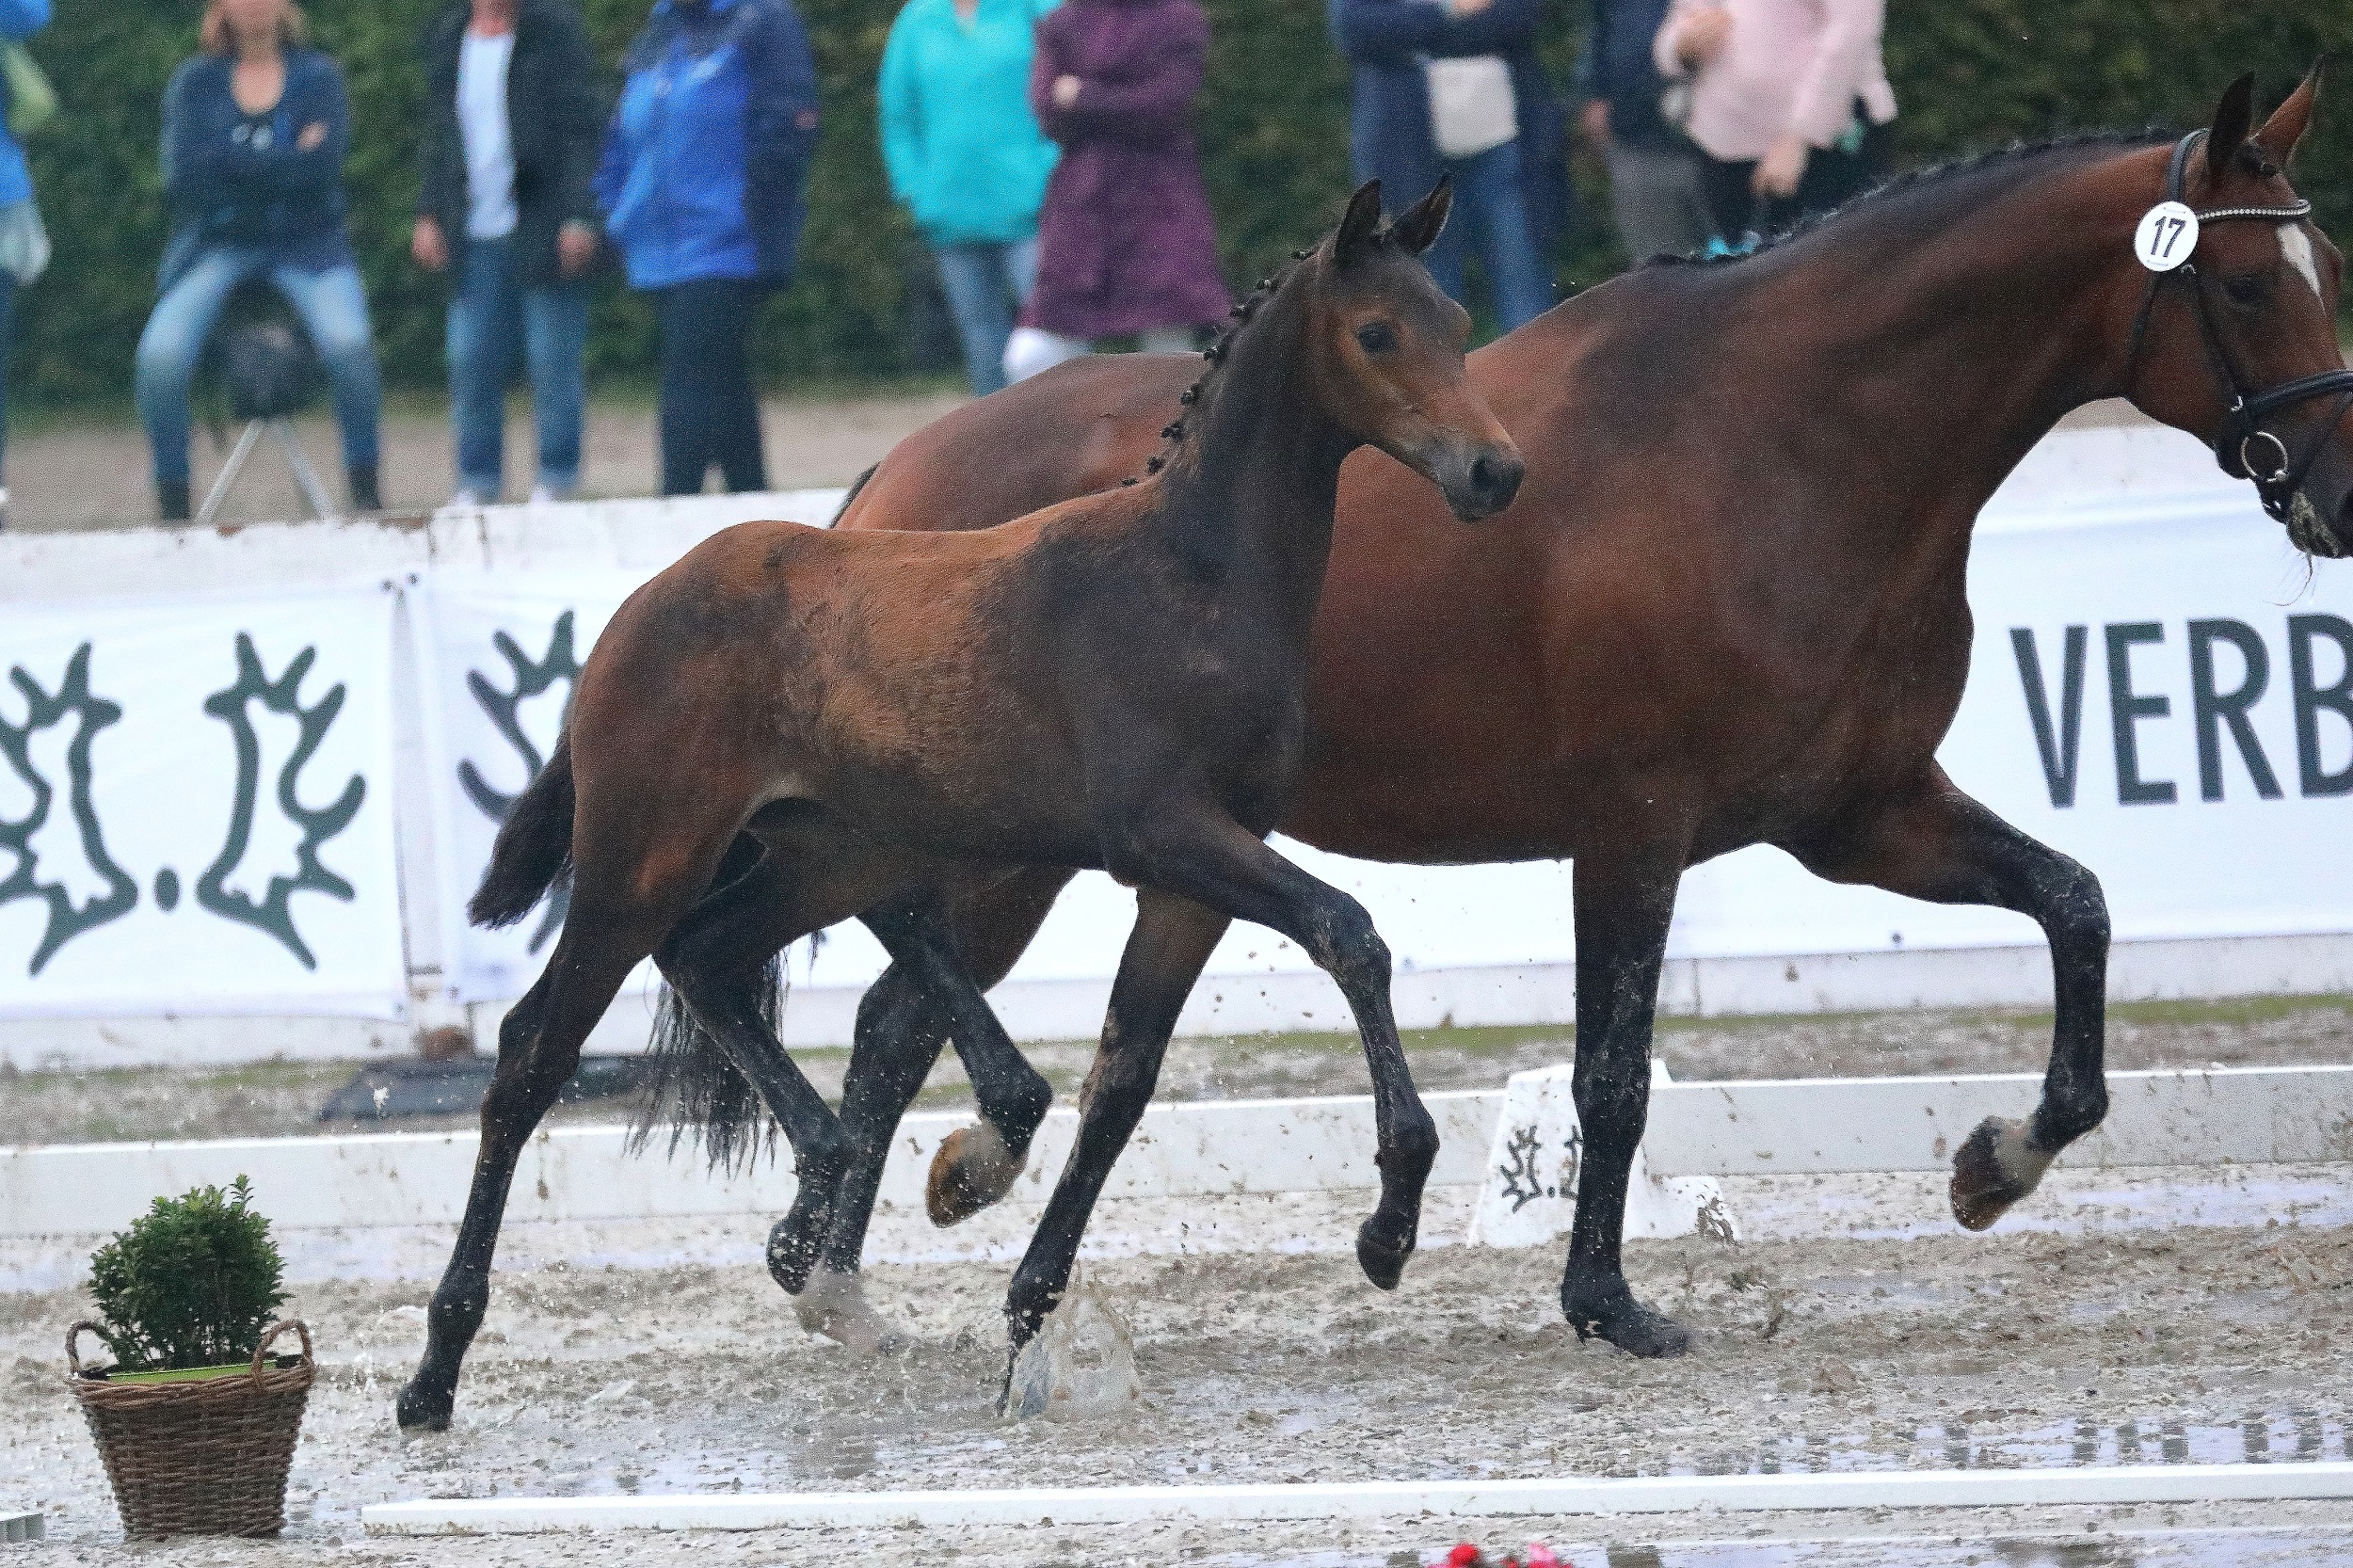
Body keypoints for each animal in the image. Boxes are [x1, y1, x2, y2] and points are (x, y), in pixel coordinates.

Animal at [400, 184, 1525, 1431]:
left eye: (1455, 321)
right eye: (1375, 333)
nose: (1493, 471)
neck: (1192, 576)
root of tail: (631, 615)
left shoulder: (1202, 863)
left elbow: (1127, 1074)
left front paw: (1025, 1306)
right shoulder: (1166, 833)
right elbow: (1348, 933)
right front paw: (1389, 1220)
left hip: (825, 855)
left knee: (710, 957)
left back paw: (823, 1189)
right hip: (640, 858)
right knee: (531, 1054)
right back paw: (435, 1369)